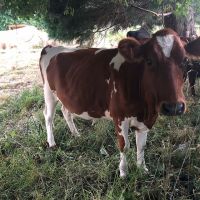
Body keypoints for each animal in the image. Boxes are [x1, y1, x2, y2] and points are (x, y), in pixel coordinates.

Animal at [39, 27, 200, 177]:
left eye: (185, 61)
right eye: (149, 61)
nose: (173, 107)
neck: (145, 109)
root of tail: (52, 47)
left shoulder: (146, 121)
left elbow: (141, 146)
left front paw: (142, 169)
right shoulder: (119, 116)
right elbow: (124, 146)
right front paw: (123, 172)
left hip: (66, 96)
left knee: (66, 111)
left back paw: (76, 134)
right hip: (49, 92)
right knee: (48, 116)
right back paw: (51, 142)